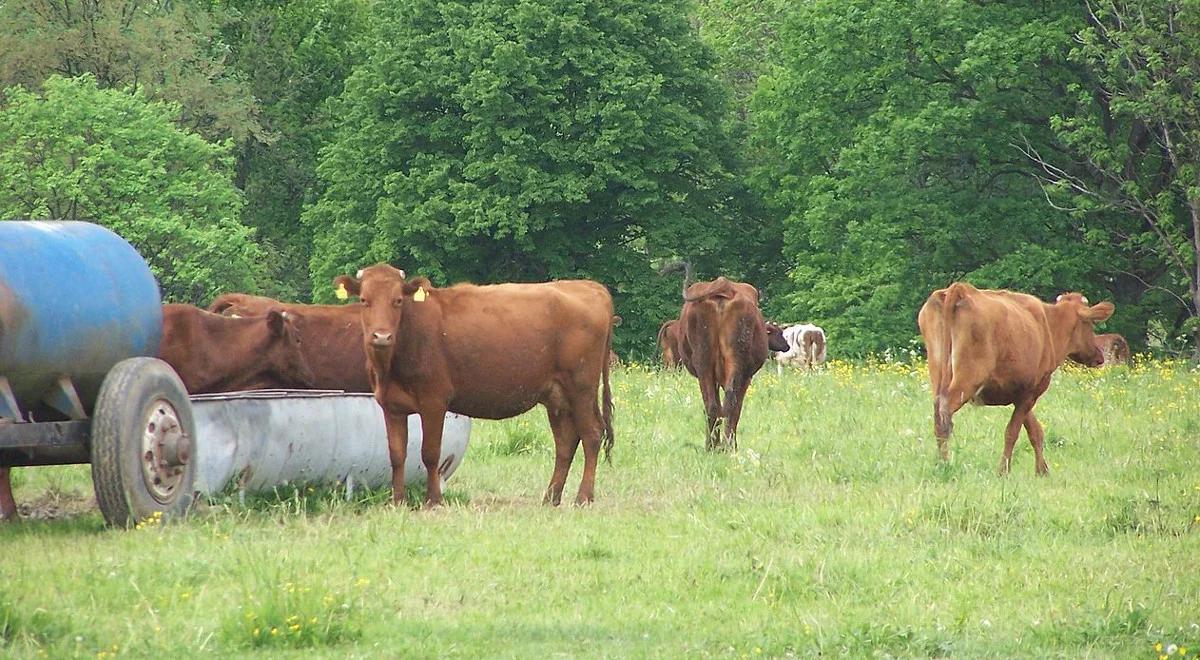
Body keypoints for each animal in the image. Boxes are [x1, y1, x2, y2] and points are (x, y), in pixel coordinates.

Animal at [333, 266, 614, 508]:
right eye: (364, 300)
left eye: (397, 301)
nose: (381, 336)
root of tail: (588, 286)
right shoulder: (391, 406)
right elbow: (396, 455)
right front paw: (398, 501)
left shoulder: (434, 401)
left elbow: (430, 453)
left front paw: (433, 500)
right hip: (557, 396)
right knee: (566, 442)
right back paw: (551, 497)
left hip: (581, 388)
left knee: (591, 434)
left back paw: (583, 497)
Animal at [916, 284, 1113, 475]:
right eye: (1090, 324)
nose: (1099, 356)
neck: (1049, 325)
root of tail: (960, 289)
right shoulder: (1032, 391)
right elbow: (1013, 432)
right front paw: (1004, 471)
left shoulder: (1020, 393)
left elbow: (1035, 431)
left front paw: (1042, 470)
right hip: (967, 381)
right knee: (945, 415)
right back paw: (945, 464)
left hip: (937, 375)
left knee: (938, 416)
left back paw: (939, 463)